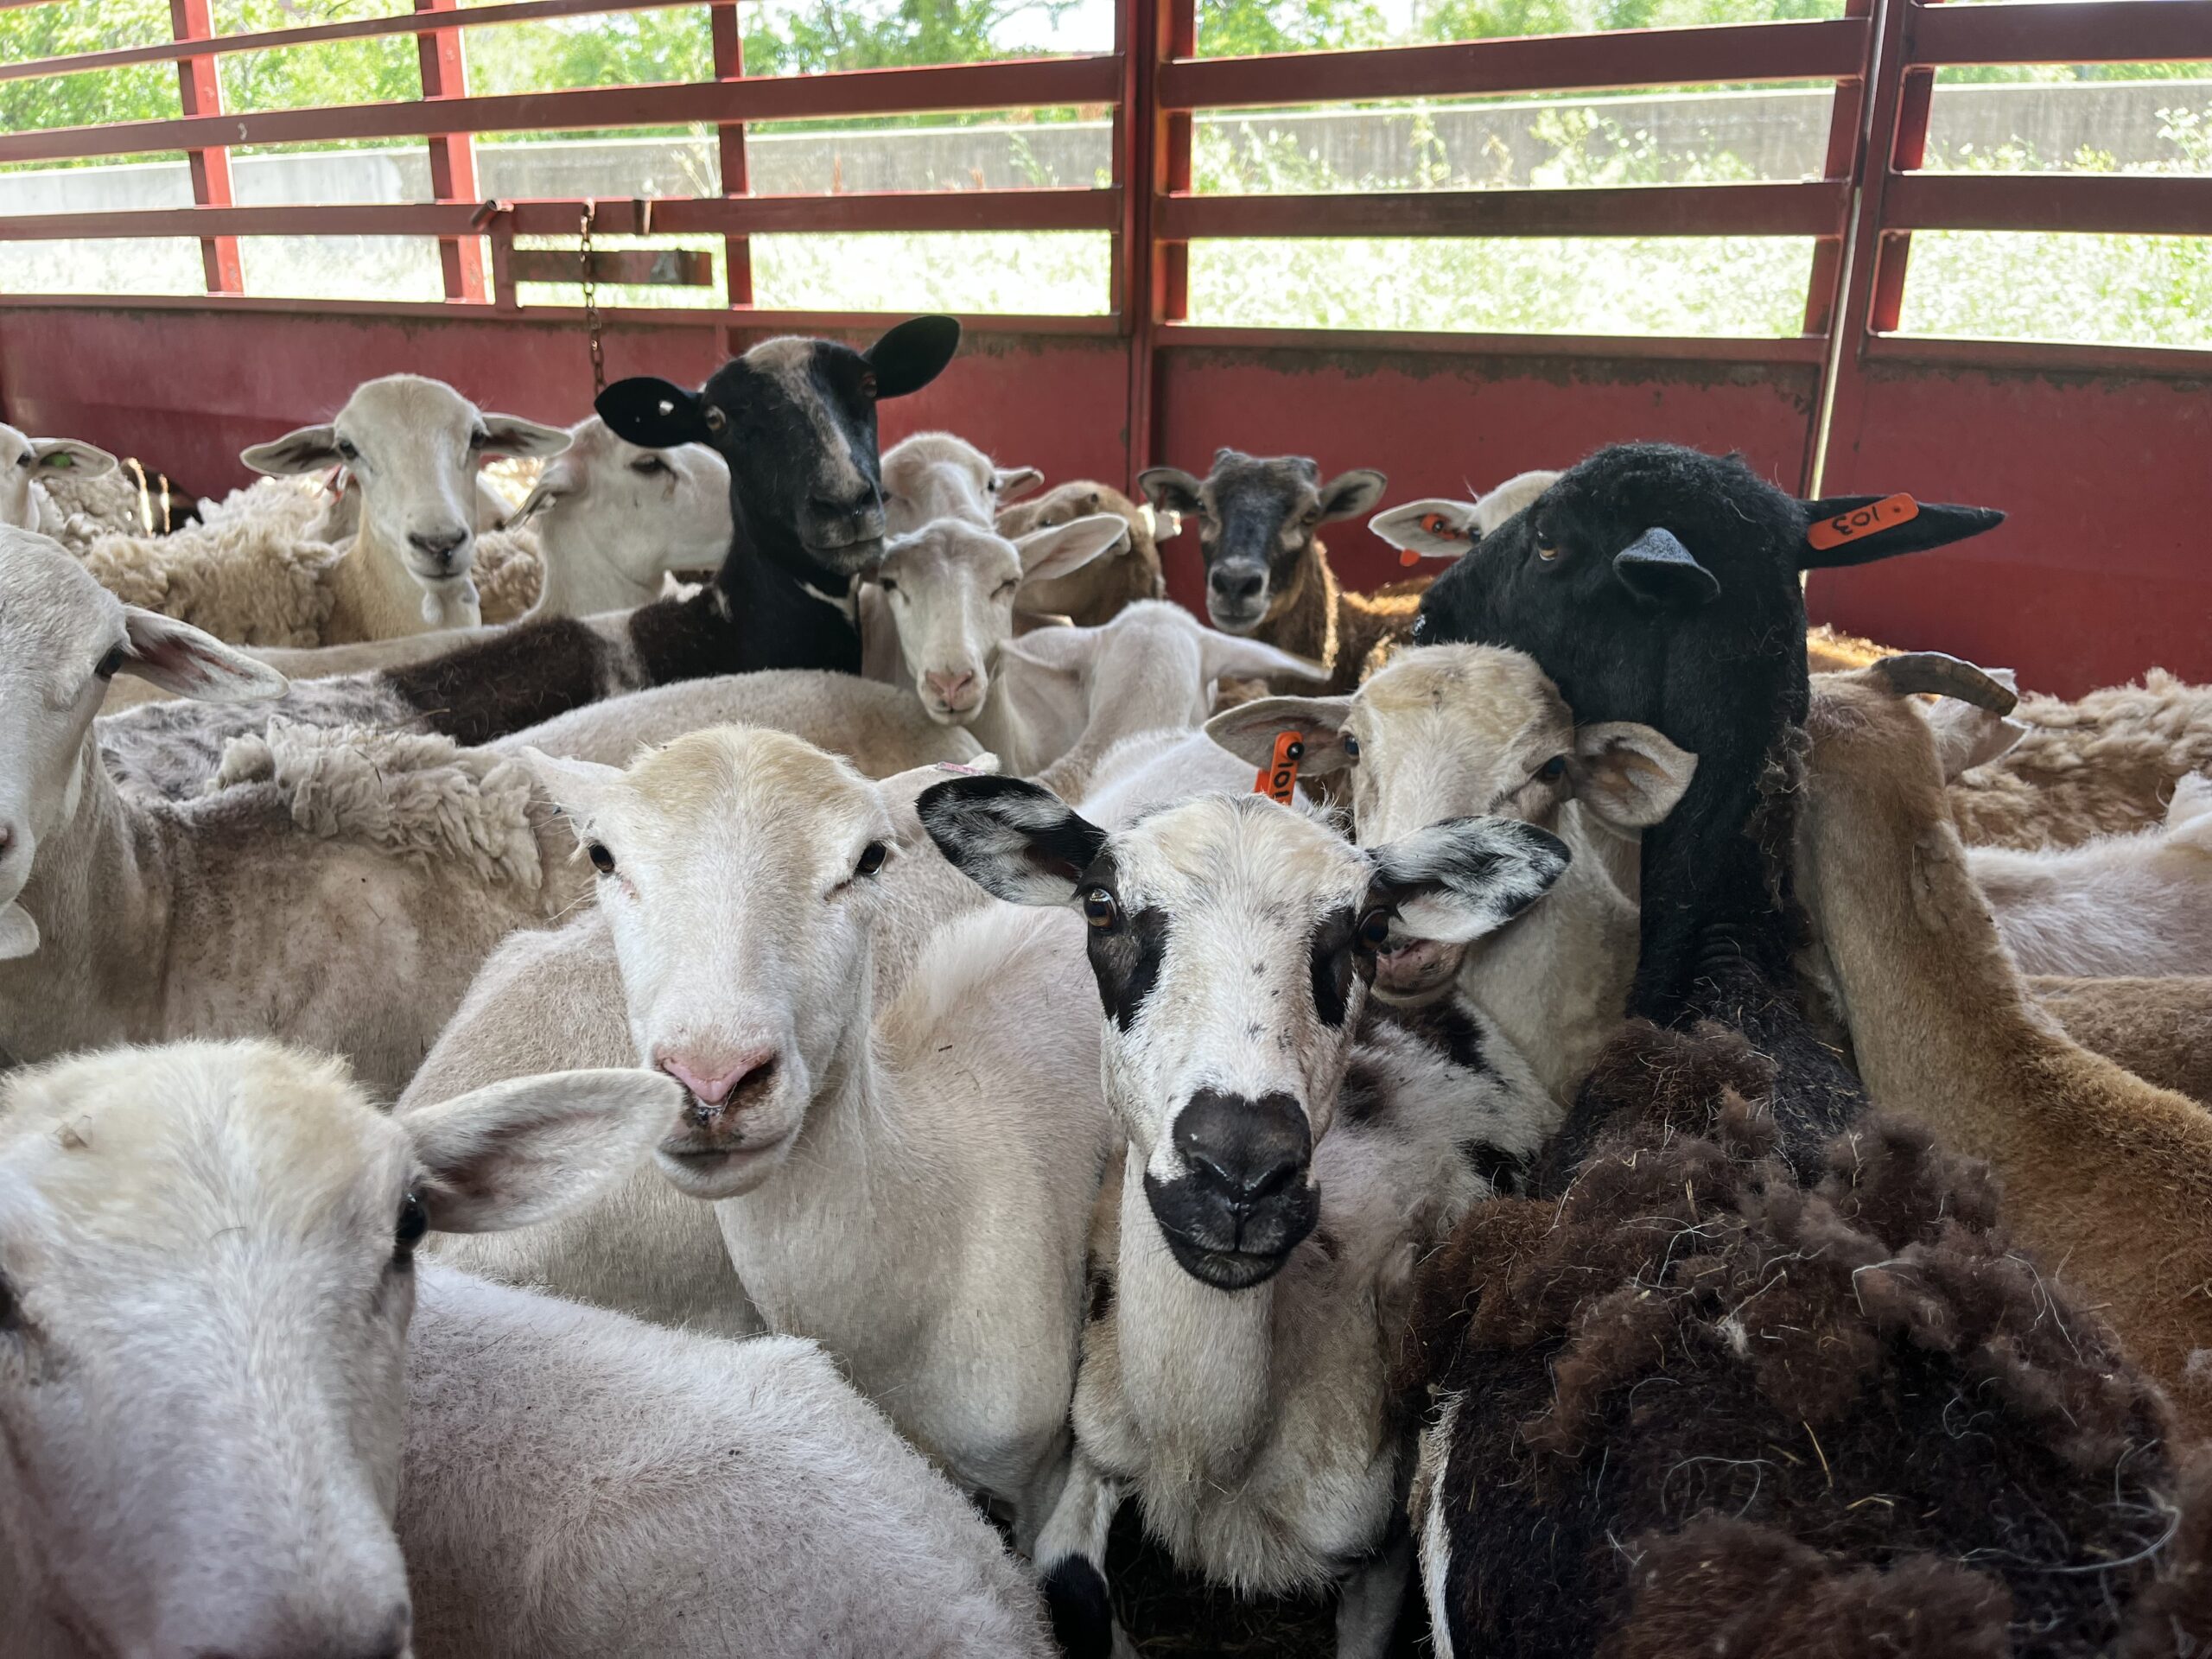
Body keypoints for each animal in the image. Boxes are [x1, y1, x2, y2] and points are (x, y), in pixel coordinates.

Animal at [920, 775, 1567, 1658]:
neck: (1209, 1451)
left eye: (1370, 927)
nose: (1240, 1172)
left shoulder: (1376, 1543)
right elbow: (1070, 1581)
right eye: (1100, 906)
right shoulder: (1099, 1433)